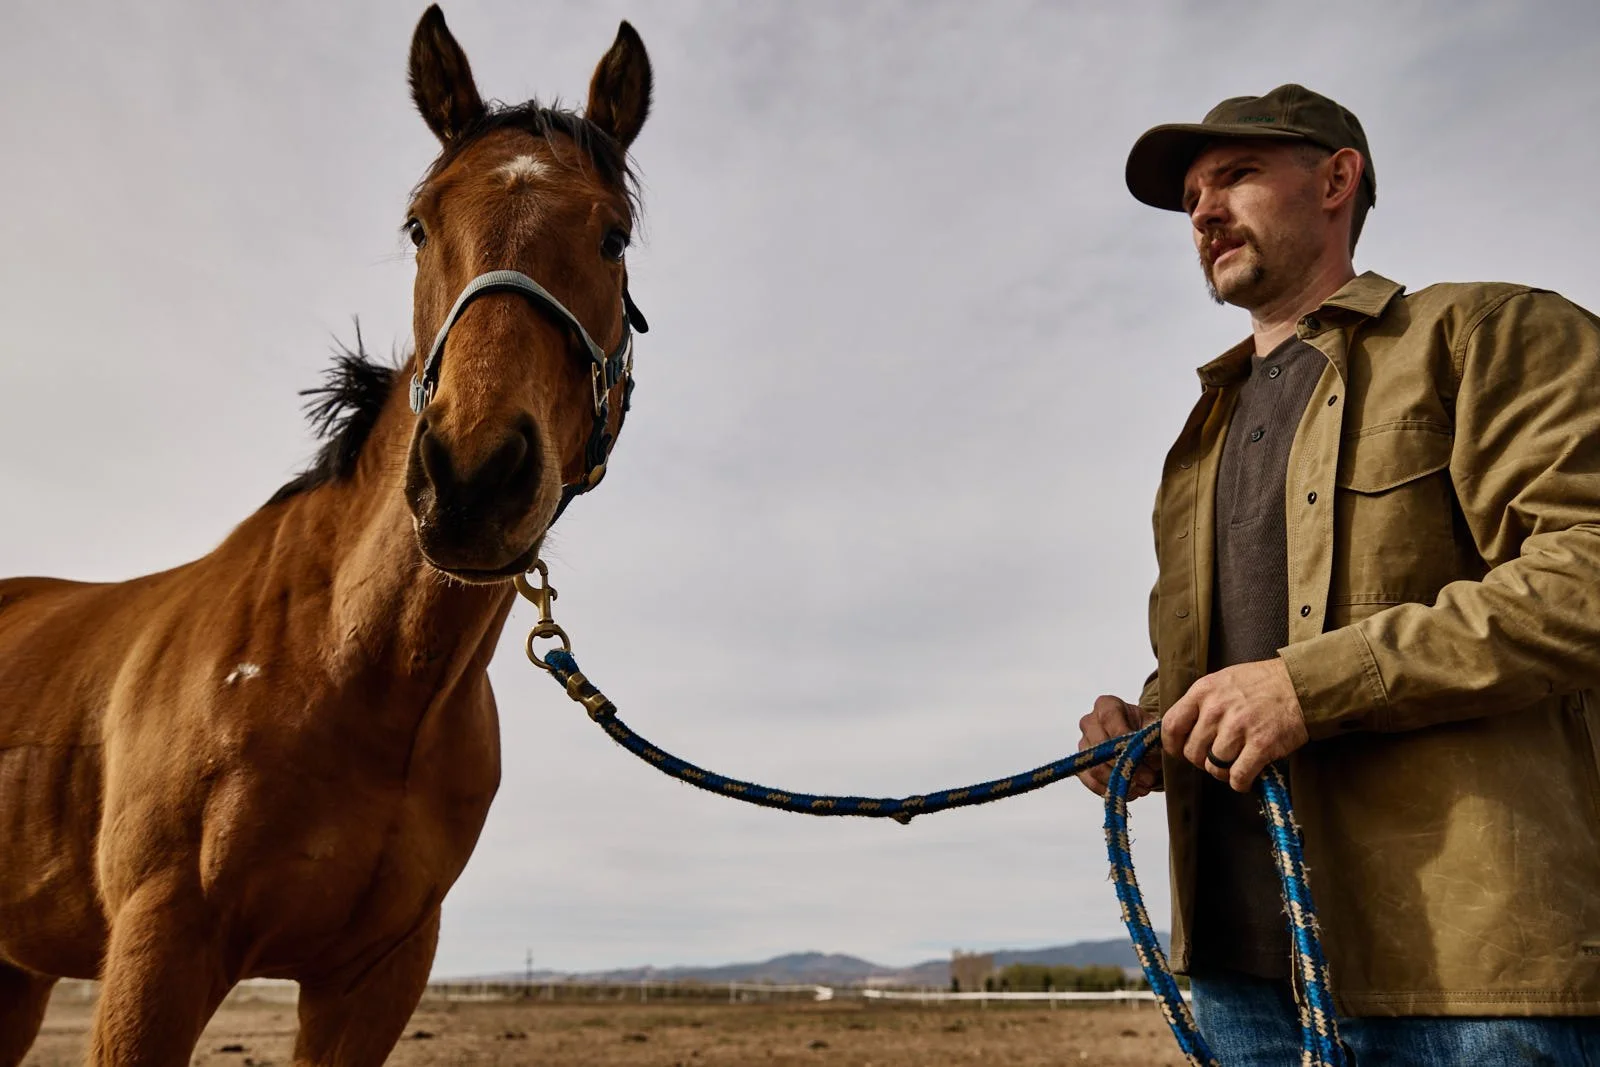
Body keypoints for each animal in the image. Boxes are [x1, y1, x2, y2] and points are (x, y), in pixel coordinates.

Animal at [0, 7, 651, 1063]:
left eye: (614, 234)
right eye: (420, 224)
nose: (472, 479)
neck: (352, 668)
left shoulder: (375, 976)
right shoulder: (157, 954)